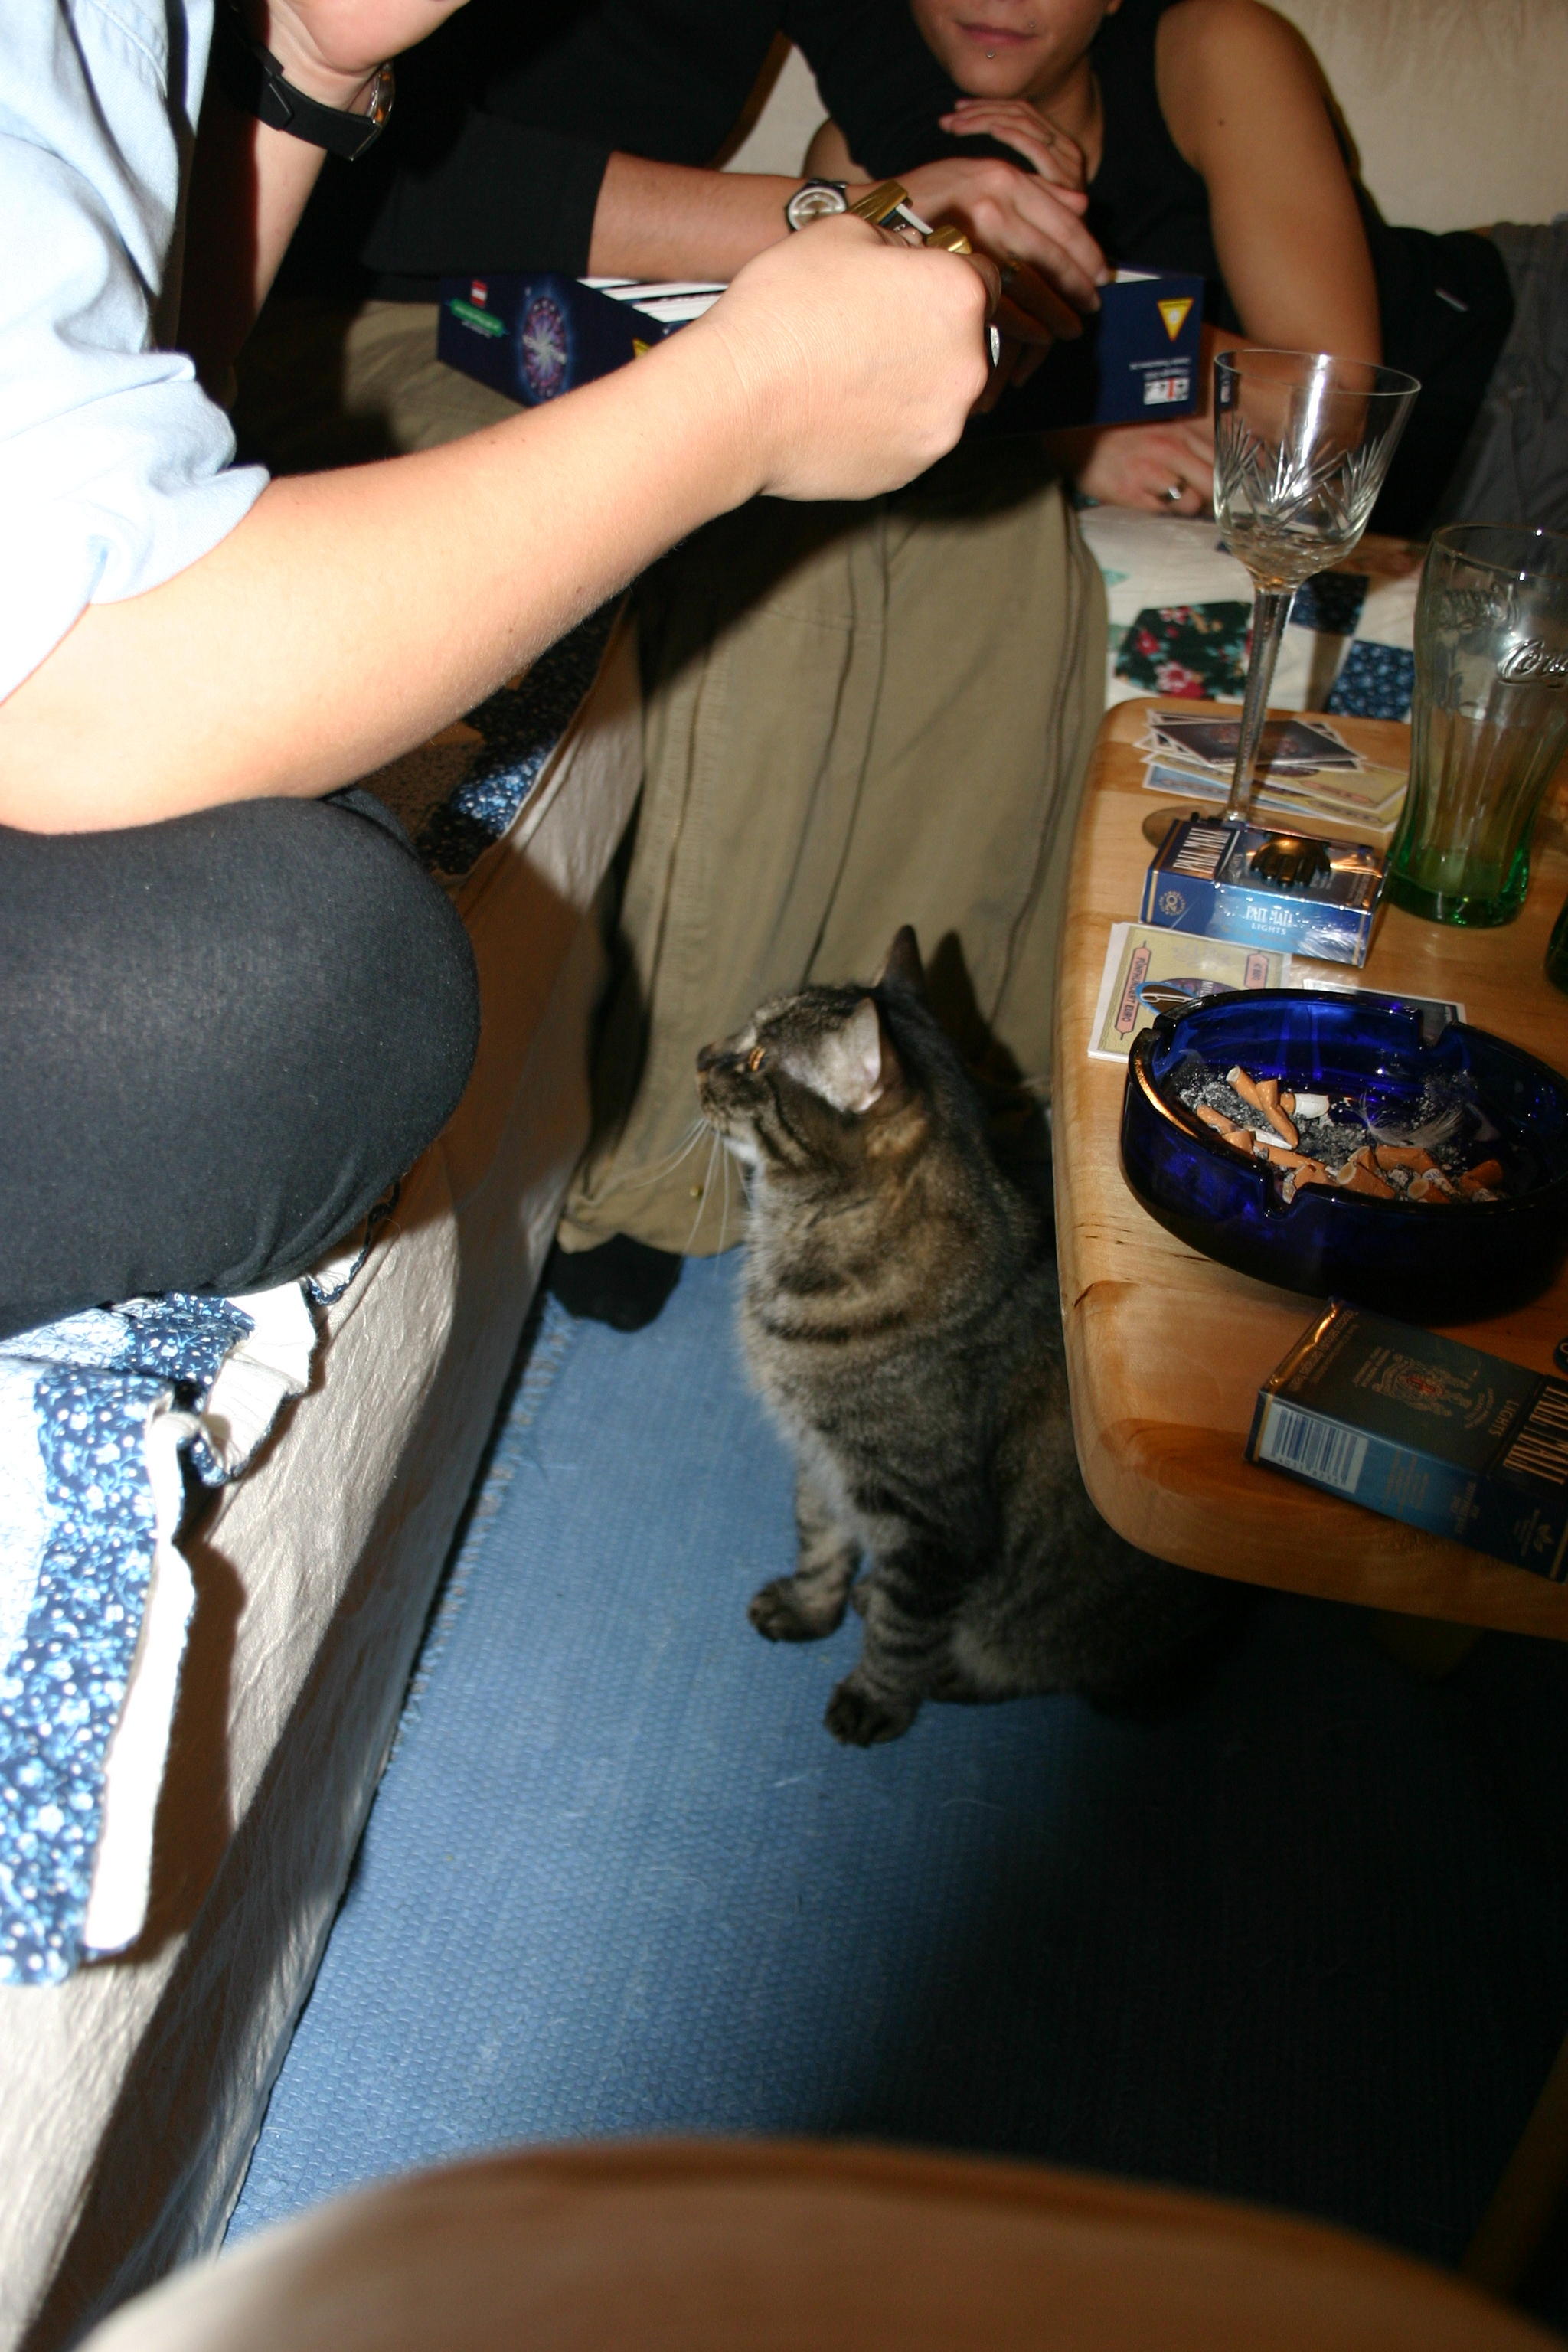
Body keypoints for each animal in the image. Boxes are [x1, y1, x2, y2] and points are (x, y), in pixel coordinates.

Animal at [695, 926, 1235, 1747]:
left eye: (756, 1062)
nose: (701, 1056)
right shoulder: (824, 1462)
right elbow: (820, 1543)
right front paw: (810, 1608)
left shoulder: (936, 1525)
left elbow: (900, 1636)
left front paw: (875, 1700)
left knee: (1033, 1667)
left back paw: (954, 1673)